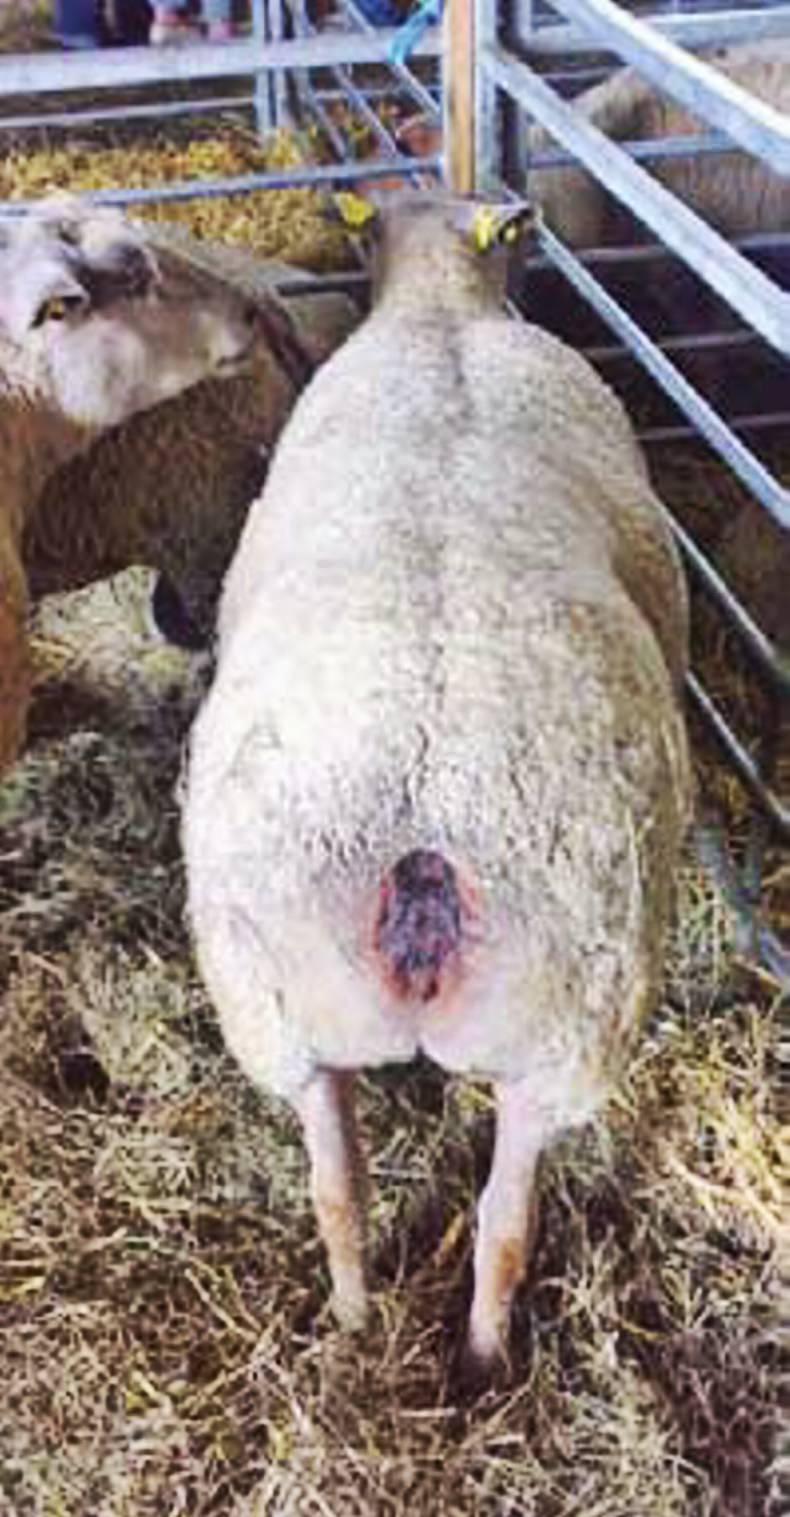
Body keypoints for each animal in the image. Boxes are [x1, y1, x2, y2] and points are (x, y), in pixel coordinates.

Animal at [182, 191, 692, 1377]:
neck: (439, 313)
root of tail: (423, 833)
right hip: (556, 1027)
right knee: (498, 1222)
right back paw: (477, 1356)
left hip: (296, 1018)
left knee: (345, 1192)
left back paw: (370, 1326)